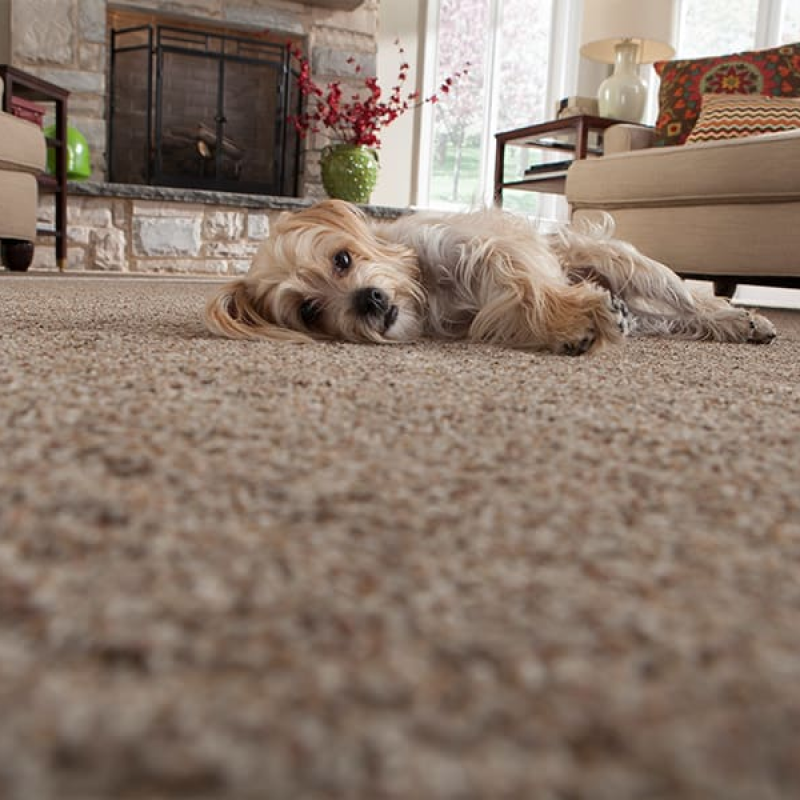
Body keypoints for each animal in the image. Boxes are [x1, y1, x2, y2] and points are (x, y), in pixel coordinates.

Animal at [205, 198, 776, 354]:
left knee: (689, 303)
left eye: (342, 259)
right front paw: (571, 328)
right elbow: (512, 311)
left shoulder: (487, 247)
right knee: (675, 322)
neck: (427, 289)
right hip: (648, 313)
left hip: (633, 268)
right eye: (308, 310)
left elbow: (529, 286)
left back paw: (740, 319)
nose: (369, 301)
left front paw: (572, 314)